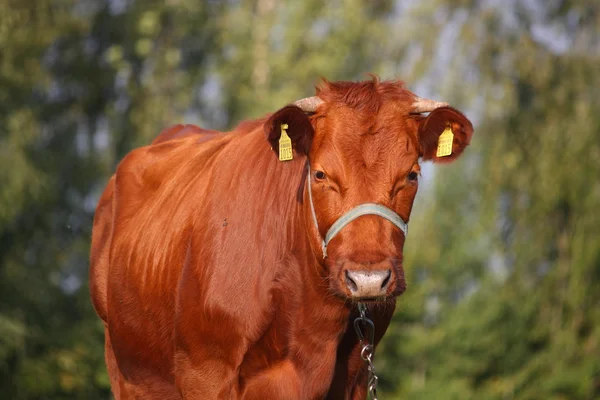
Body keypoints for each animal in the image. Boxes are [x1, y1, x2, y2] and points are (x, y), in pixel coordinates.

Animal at [89, 76, 474, 398]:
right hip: (124, 368)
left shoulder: (355, 379)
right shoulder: (204, 374)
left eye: (411, 175)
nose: (368, 278)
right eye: (320, 174)